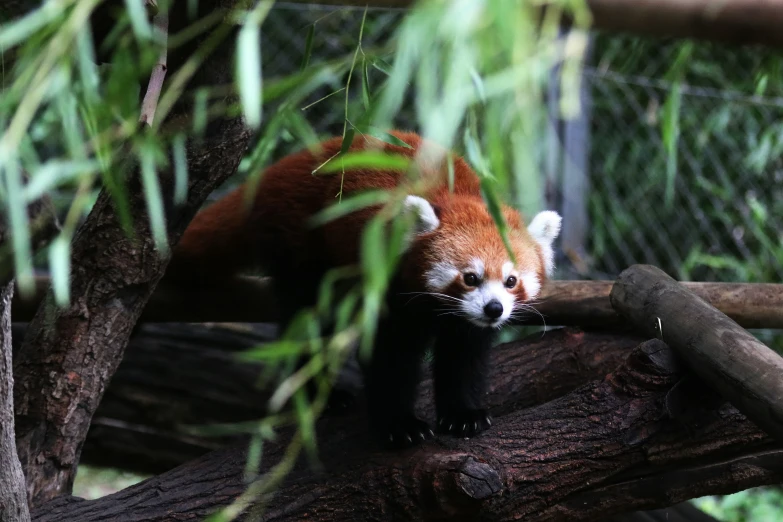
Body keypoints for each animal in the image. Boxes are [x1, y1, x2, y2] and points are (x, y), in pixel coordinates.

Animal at [168, 130, 560, 446]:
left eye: (511, 281)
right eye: (471, 277)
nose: (493, 308)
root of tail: (290, 164)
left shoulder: (467, 324)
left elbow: (465, 357)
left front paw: (463, 415)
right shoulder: (391, 289)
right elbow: (390, 357)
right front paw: (400, 425)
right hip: (302, 244)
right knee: (310, 320)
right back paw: (323, 394)